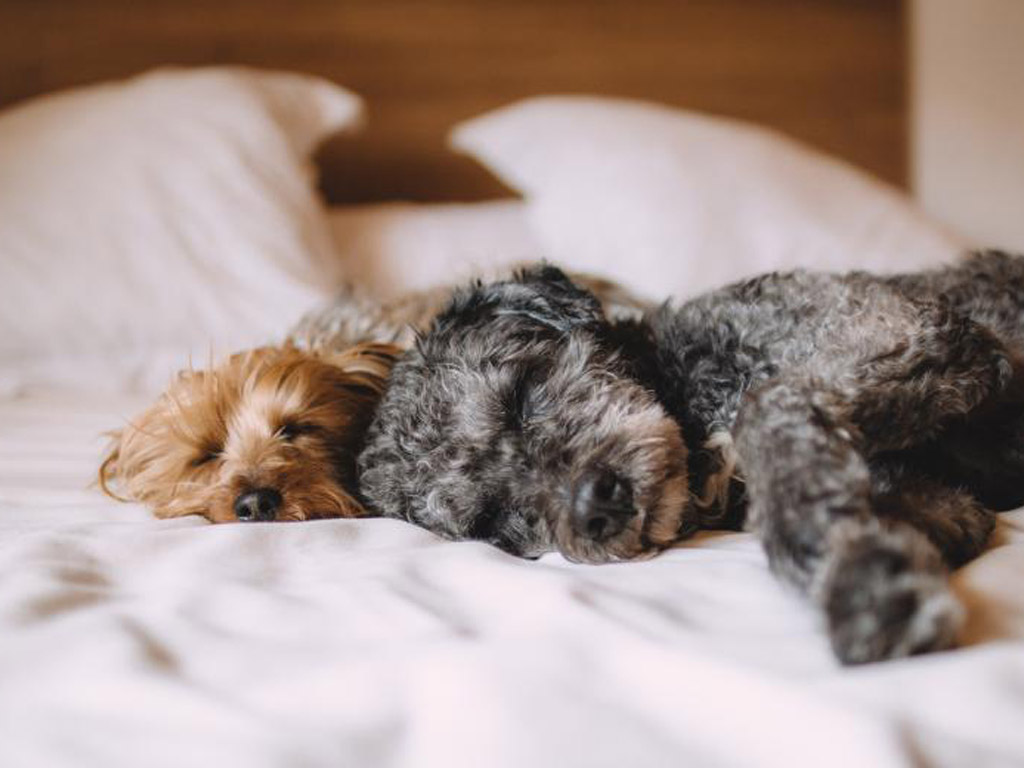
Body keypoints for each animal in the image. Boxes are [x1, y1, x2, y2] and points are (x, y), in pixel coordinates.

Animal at [358, 253, 1024, 667]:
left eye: (519, 396)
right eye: (492, 521)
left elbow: (766, 407)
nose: (595, 507)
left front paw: (863, 585)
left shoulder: (911, 328)